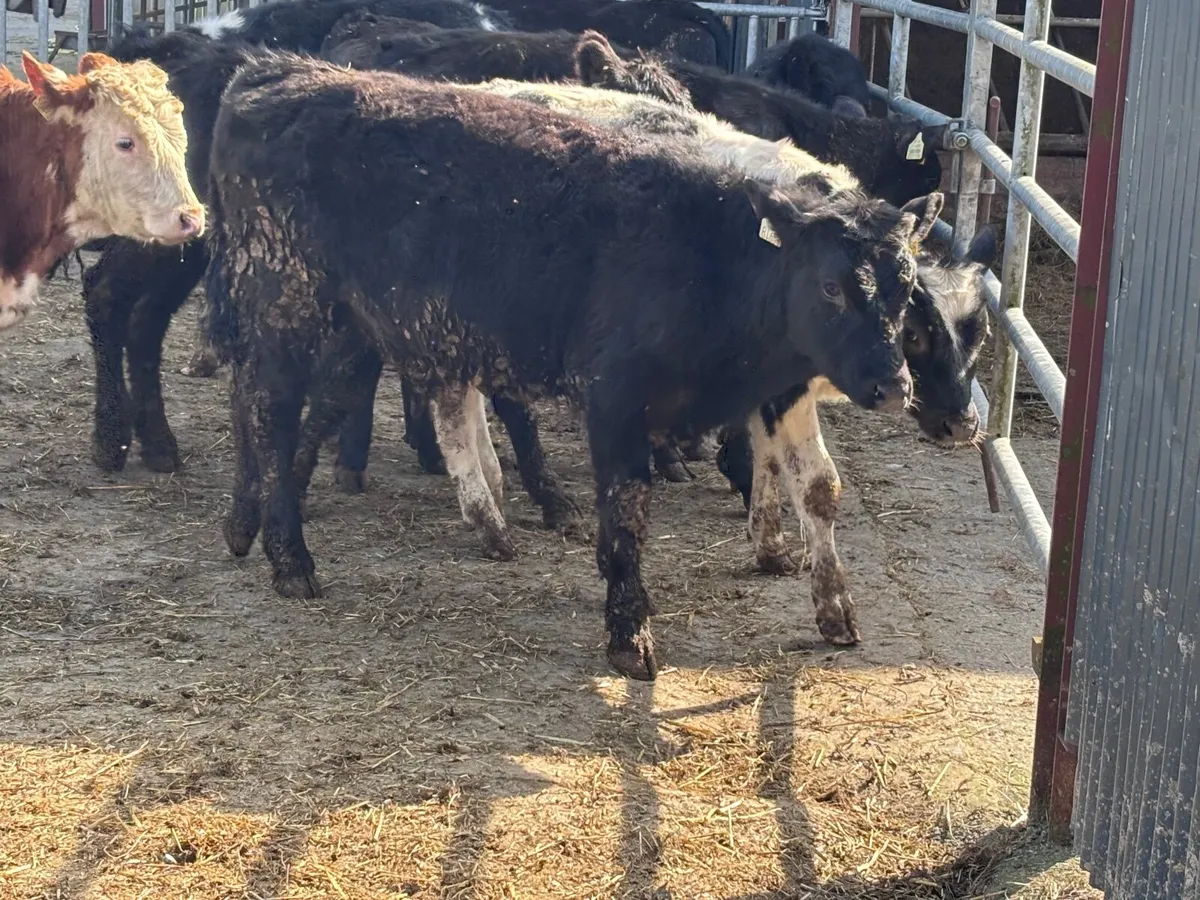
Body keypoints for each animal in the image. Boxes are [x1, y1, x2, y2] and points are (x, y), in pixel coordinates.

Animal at [204, 55, 938, 680]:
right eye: (831, 287)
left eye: (905, 287)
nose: (893, 386)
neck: (708, 253)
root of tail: (279, 71)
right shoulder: (616, 398)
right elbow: (626, 514)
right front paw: (630, 635)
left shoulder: (778, 387)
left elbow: (818, 487)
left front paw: (835, 610)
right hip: (289, 299)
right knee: (270, 407)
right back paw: (290, 556)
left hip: (359, 320)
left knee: (292, 401)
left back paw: (253, 524)